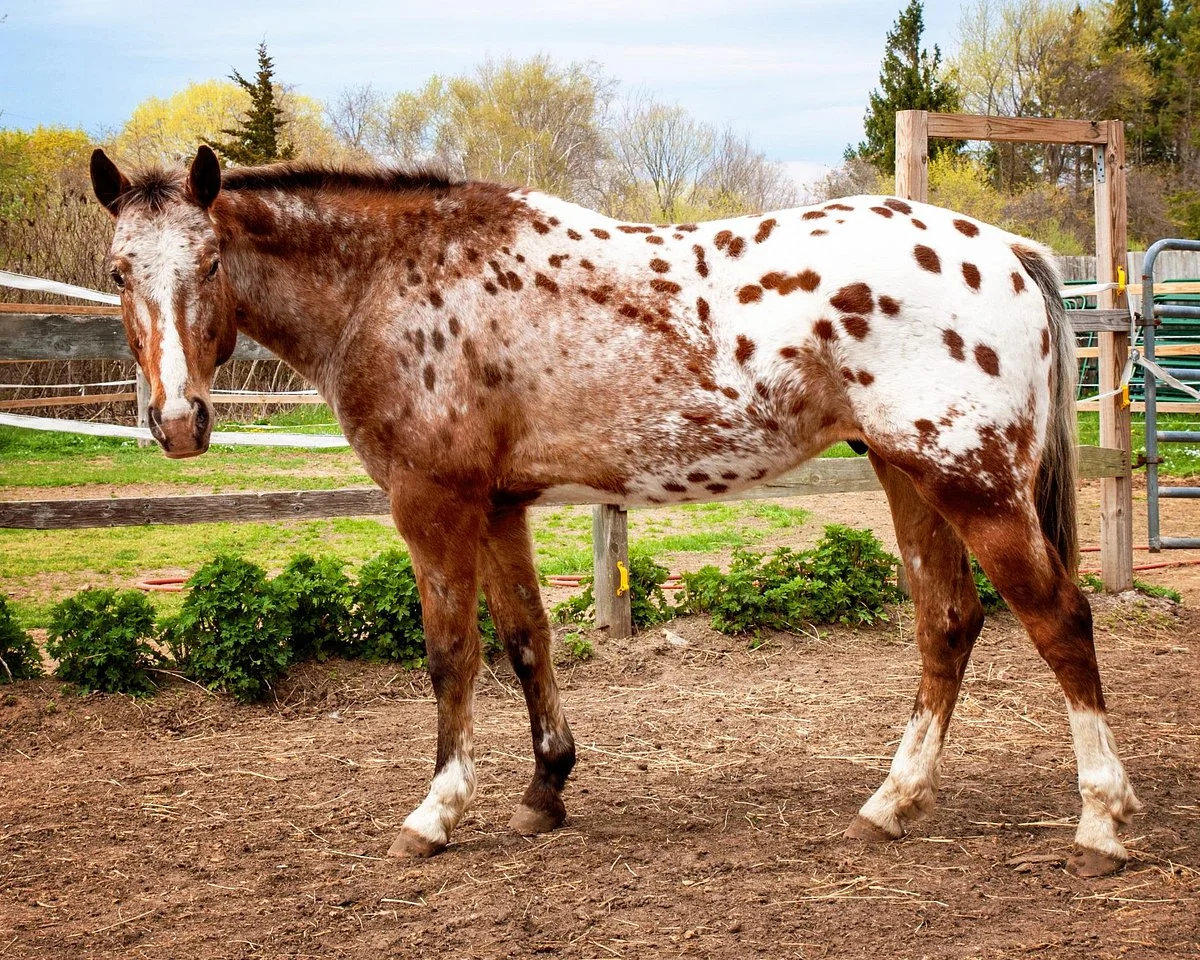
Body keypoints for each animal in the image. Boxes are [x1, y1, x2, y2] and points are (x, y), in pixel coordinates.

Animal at [89, 145, 1141, 877]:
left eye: (210, 262)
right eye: (118, 271)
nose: (177, 422)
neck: (392, 280)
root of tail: (1005, 249)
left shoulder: (434, 505)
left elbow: (450, 655)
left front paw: (436, 814)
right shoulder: (500, 507)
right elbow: (526, 643)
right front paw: (544, 789)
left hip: (972, 483)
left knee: (1058, 619)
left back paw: (1100, 821)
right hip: (907, 474)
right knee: (948, 623)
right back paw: (892, 802)